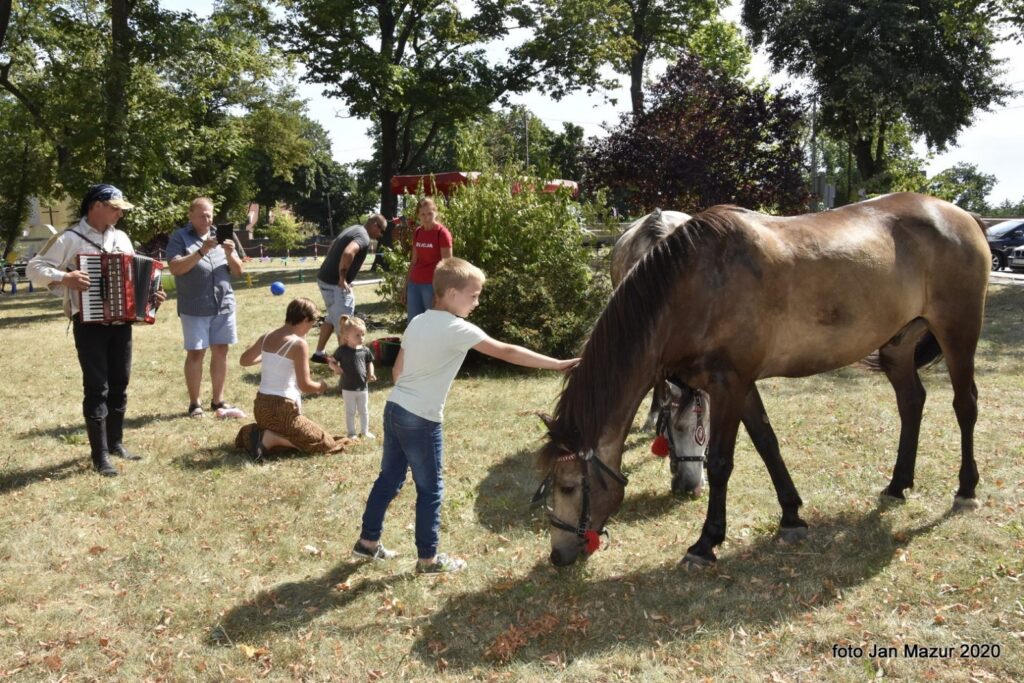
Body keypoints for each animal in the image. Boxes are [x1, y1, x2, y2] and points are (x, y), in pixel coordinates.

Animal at [540, 192, 987, 565]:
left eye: (568, 487)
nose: (558, 556)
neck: (696, 287)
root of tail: (963, 216)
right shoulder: (741, 384)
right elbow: (767, 443)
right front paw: (791, 516)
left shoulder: (729, 385)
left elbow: (721, 462)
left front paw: (706, 542)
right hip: (897, 346)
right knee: (911, 402)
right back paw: (898, 484)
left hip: (958, 331)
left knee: (964, 405)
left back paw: (966, 491)